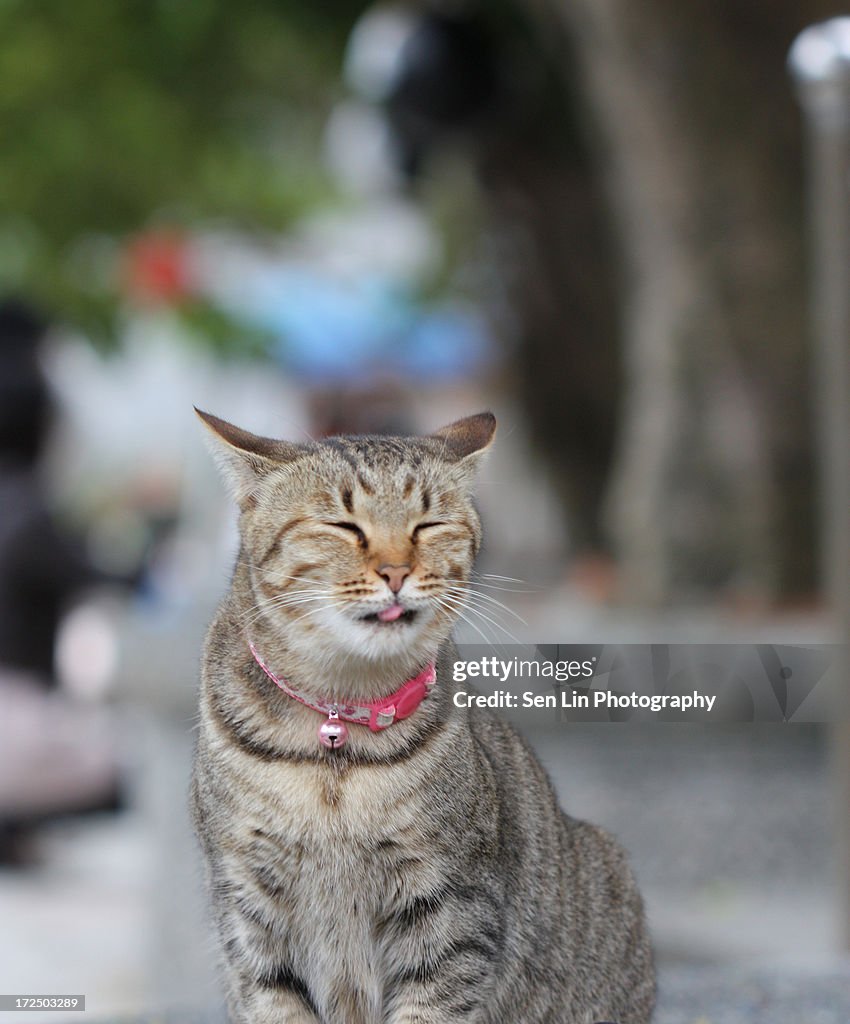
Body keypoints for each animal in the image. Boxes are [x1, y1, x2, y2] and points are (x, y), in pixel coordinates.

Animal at [194, 409, 659, 1024]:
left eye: (429, 525)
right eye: (342, 525)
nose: (395, 571)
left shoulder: (451, 908)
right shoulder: (248, 907)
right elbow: (275, 1004)